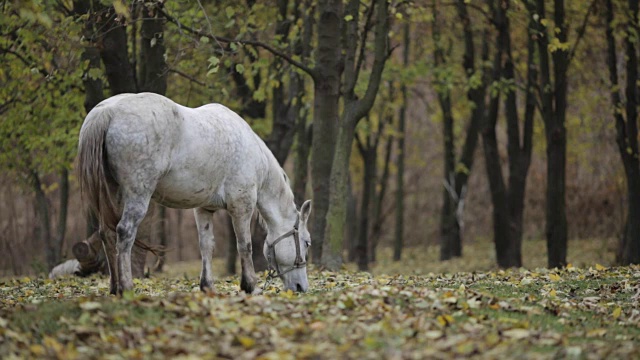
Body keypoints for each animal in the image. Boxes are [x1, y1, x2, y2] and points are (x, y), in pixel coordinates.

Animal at [76, 93, 312, 296]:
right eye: (307, 242)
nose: (301, 287)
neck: (254, 156)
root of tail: (107, 112)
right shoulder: (241, 206)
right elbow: (244, 245)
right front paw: (250, 286)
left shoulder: (203, 209)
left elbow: (206, 245)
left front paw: (207, 286)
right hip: (136, 195)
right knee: (124, 233)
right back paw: (126, 288)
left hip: (111, 194)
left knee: (107, 234)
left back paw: (115, 288)